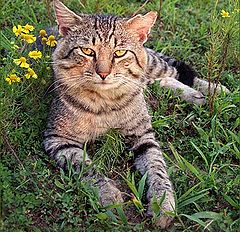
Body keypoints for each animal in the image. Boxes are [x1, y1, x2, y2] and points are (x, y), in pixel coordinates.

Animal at [44, 0, 230, 228]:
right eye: (87, 51)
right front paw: (107, 193)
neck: (105, 102)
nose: (103, 73)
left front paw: (162, 203)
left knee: (173, 73)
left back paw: (214, 91)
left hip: (153, 65)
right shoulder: (58, 139)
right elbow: (86, 166)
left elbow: (157, 169)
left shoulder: (143, 136)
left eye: (119, 53)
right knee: (162, 81)